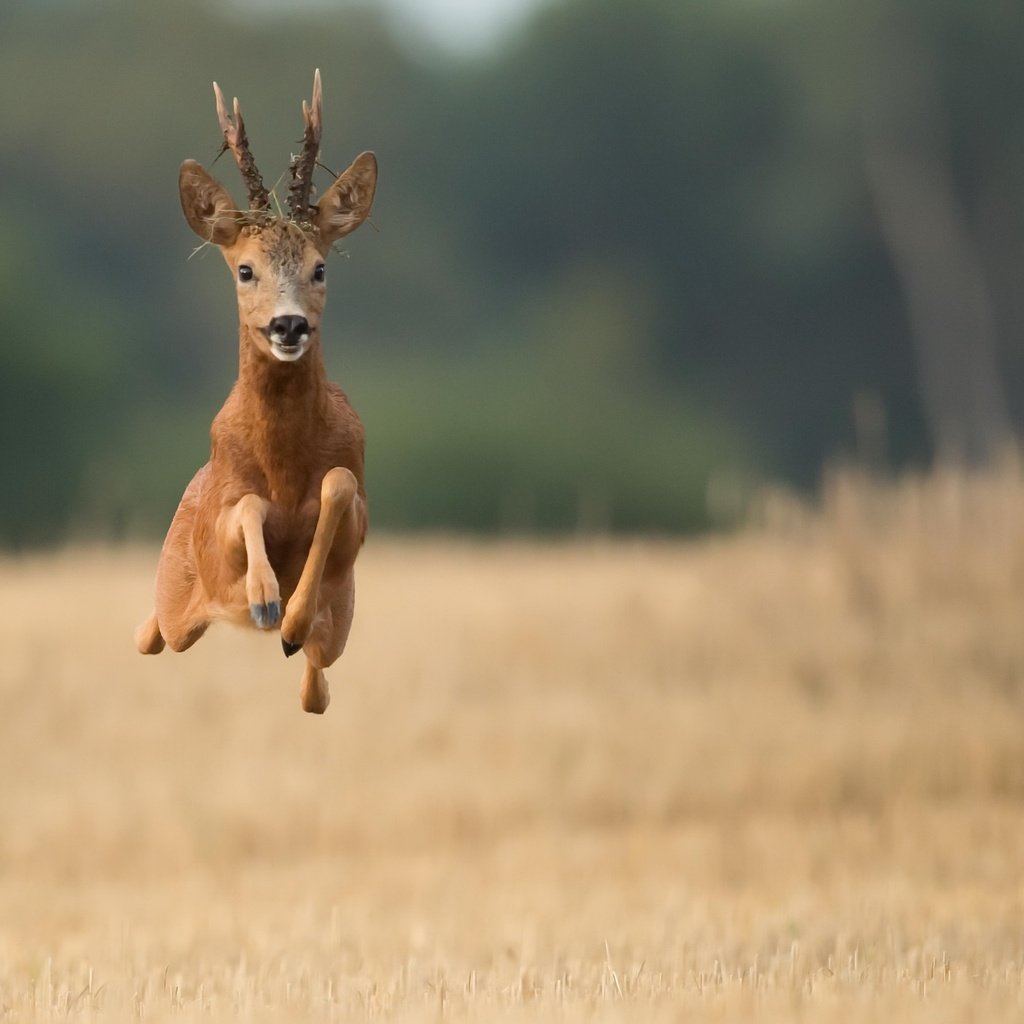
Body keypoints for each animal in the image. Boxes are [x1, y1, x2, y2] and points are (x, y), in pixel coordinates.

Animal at [133, 72, 376, 712]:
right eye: (245, 270)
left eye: (320, 267)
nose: (288, 326)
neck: (286, 467)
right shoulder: (221, 526)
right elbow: (247, 506)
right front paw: (266, 598)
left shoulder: (356, 522)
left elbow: (338, 486)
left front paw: (288, 618)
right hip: (178, 591)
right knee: (154, 633)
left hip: (341, 628)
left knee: (316, 689)